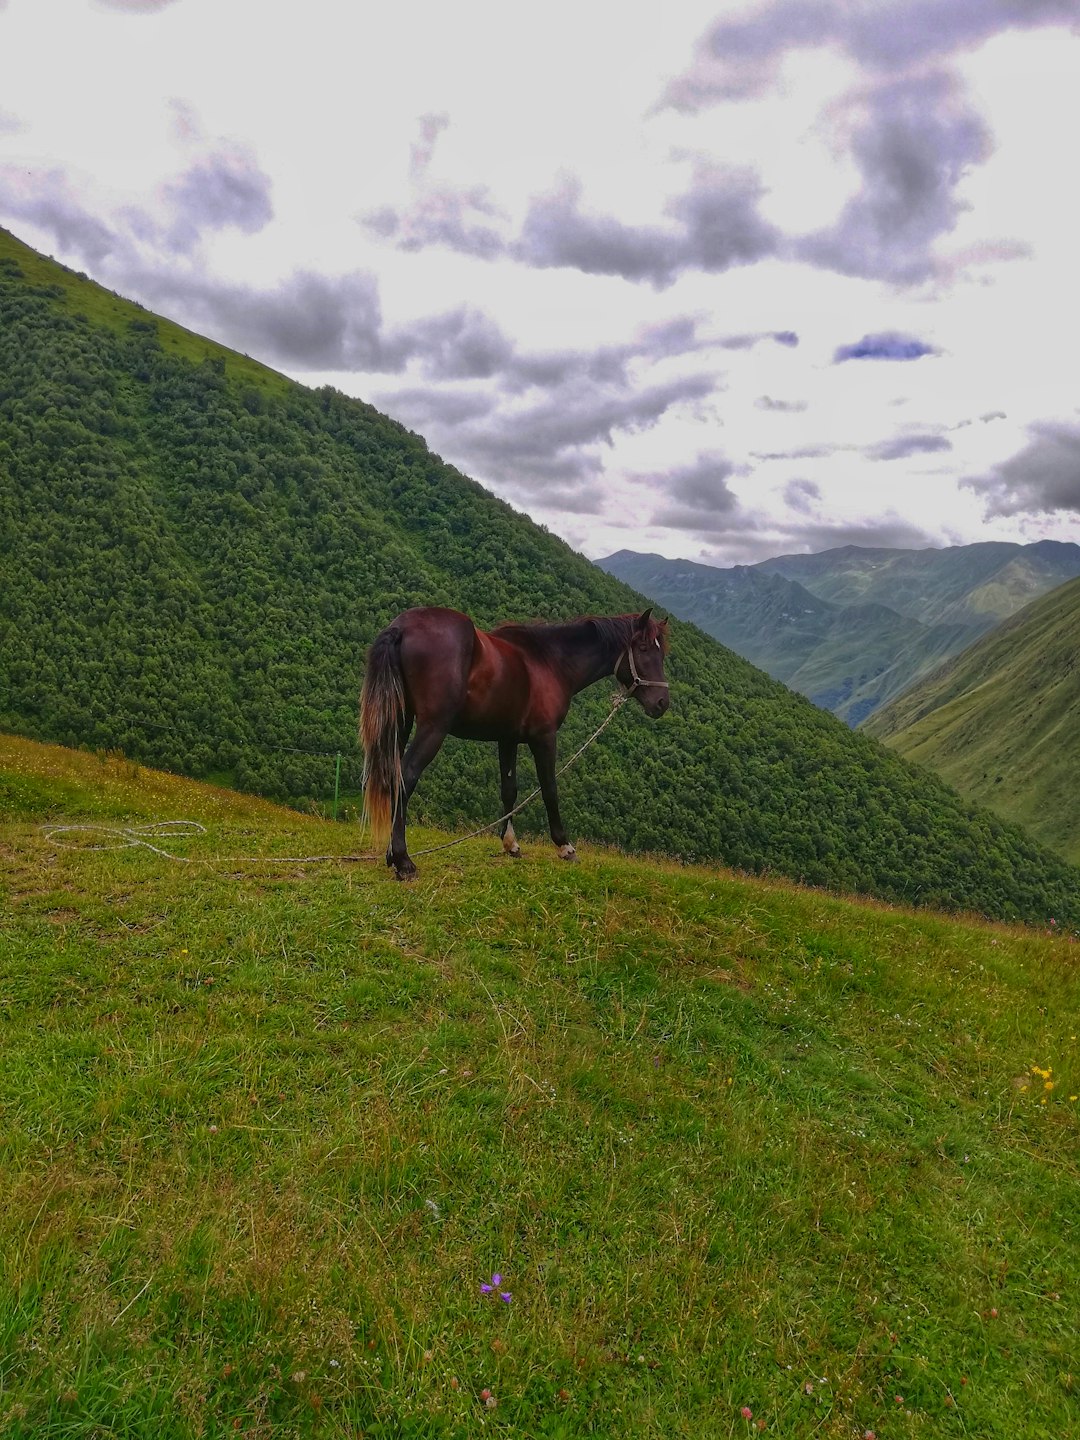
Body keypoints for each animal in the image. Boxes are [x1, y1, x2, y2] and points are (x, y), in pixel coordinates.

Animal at [361, 604, 668, 875]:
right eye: (643, 648)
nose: (662, 703)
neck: (550, 661)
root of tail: (402, 627)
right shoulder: (544, 738)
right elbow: (549, 789)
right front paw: (564, 846)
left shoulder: (507, 739)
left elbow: (509, 789)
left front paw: (510, 844)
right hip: (432, 727)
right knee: (407, 775)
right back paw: (403, 861)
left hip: (401, 721)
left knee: (393, 774)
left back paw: (391, 855)